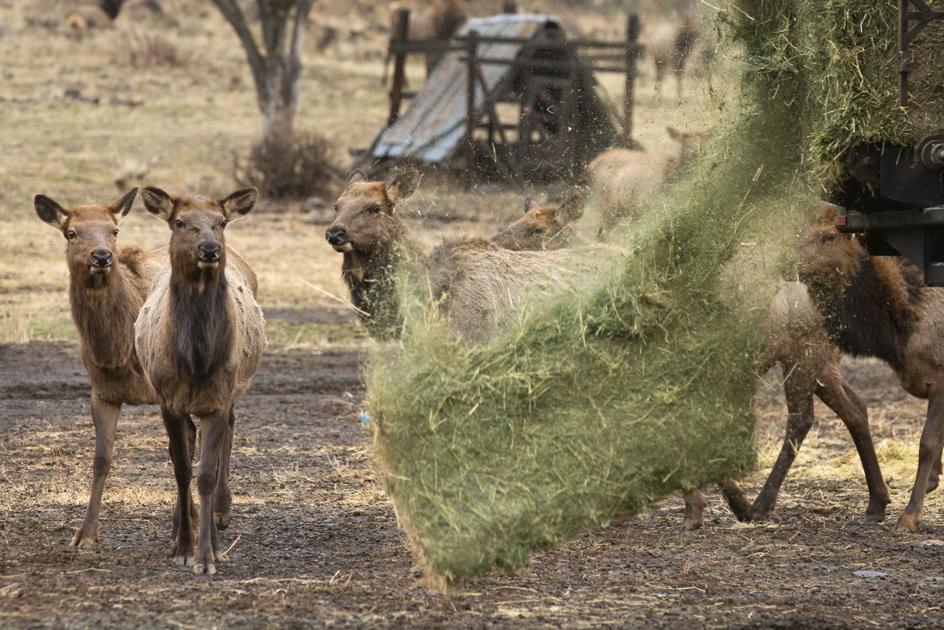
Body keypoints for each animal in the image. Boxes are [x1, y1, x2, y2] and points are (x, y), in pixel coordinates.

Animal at [33, 188, 179, 547]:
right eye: (71, 233)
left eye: (114, 230)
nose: (101, 256)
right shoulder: (102, 393)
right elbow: (101, 459)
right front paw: (85, 534)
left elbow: (179, 452)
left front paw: (184, 531)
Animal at [135, 187, 266, 574]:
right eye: (180, 222)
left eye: (220, 222)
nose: (210, 249)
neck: (195, 359)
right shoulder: (168, 401)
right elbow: (181, 469)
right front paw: (183, 546)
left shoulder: (218, 398)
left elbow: (205, 474)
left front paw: (208, 554)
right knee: (186, 446)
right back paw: (181, 524)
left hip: (234, 388)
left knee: (230, 435)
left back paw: (221, 512)